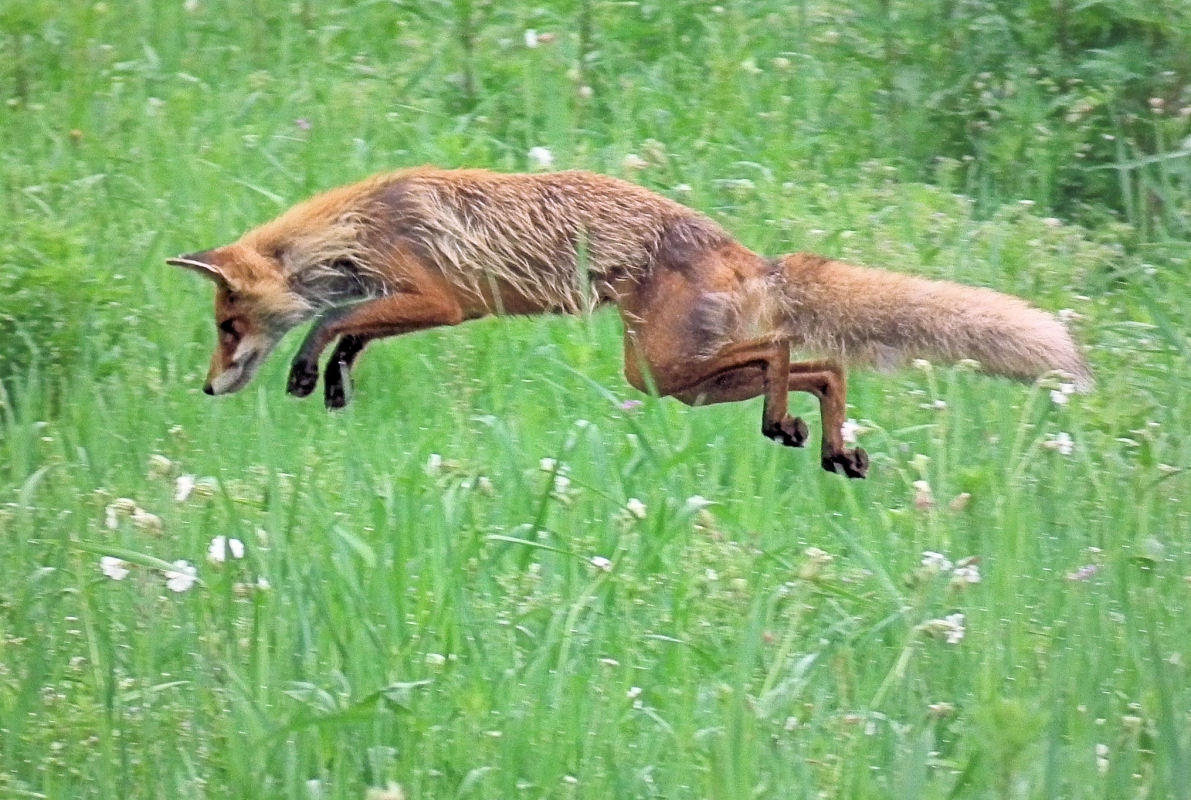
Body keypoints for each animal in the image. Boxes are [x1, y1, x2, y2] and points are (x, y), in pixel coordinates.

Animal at [167, 166, 1090, 478]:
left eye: (225, 323)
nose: (206, 388)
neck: (360, 227)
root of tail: (743, 251)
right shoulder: (416, 307)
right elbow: (349, 332)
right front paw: (329, 385)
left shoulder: (441, 300)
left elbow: (336, 323)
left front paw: (309, 369)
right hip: (674, 378)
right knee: (820, 366)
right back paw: (823, 443)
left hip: (655, 371)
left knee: (789, 348)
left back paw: (794, 424)